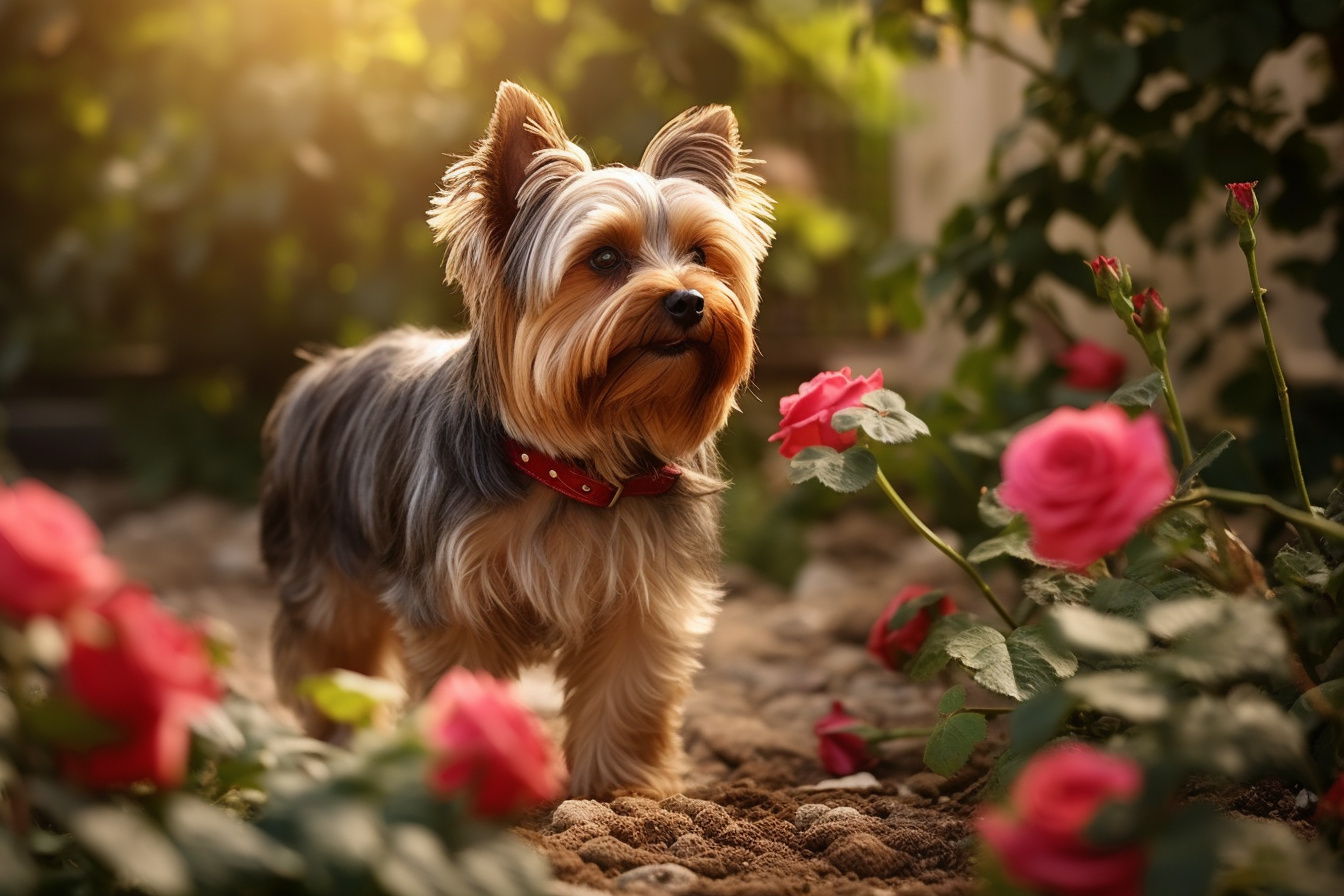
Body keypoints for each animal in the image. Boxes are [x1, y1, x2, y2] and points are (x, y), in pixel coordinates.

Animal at [256, 82, 774, 800]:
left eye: (701, 255)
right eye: (605, 258)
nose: (689, 302)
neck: (579, 464)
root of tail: (320, 368)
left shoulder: (642, 598)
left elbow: (628, 692)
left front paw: (619, 790)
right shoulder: (456, 598)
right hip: (327, 564)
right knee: (334, 657)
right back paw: (338, 745)